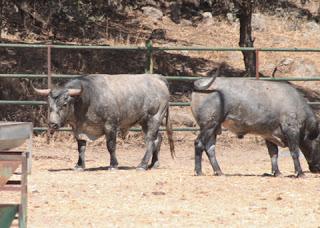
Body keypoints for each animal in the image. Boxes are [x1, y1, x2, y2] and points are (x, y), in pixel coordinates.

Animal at [33, 74, 175, 170]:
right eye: (49, 105)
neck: (89, 97)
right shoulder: (79, 129)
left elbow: (111, 146)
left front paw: (113, 164)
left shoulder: (110, 125)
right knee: (158, 138)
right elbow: (81, 147)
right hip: (145, 121)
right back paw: (154, 163)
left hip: (154, 117)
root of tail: (157, 78)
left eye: (64, 104)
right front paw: (79, 165)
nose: (52, 124)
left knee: (150, 140)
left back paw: (143, 164)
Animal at [191, 70, 320, 177]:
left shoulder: (269, 134)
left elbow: (273, 154)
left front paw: (277, 172)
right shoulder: (291, 130)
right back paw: (199, 171)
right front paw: (300, 173)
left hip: (214, 128)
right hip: (209, 125)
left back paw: (219, 172)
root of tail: (200, 82)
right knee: (199, 143)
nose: (317, 169)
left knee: (210, 148)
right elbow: (294, 152)